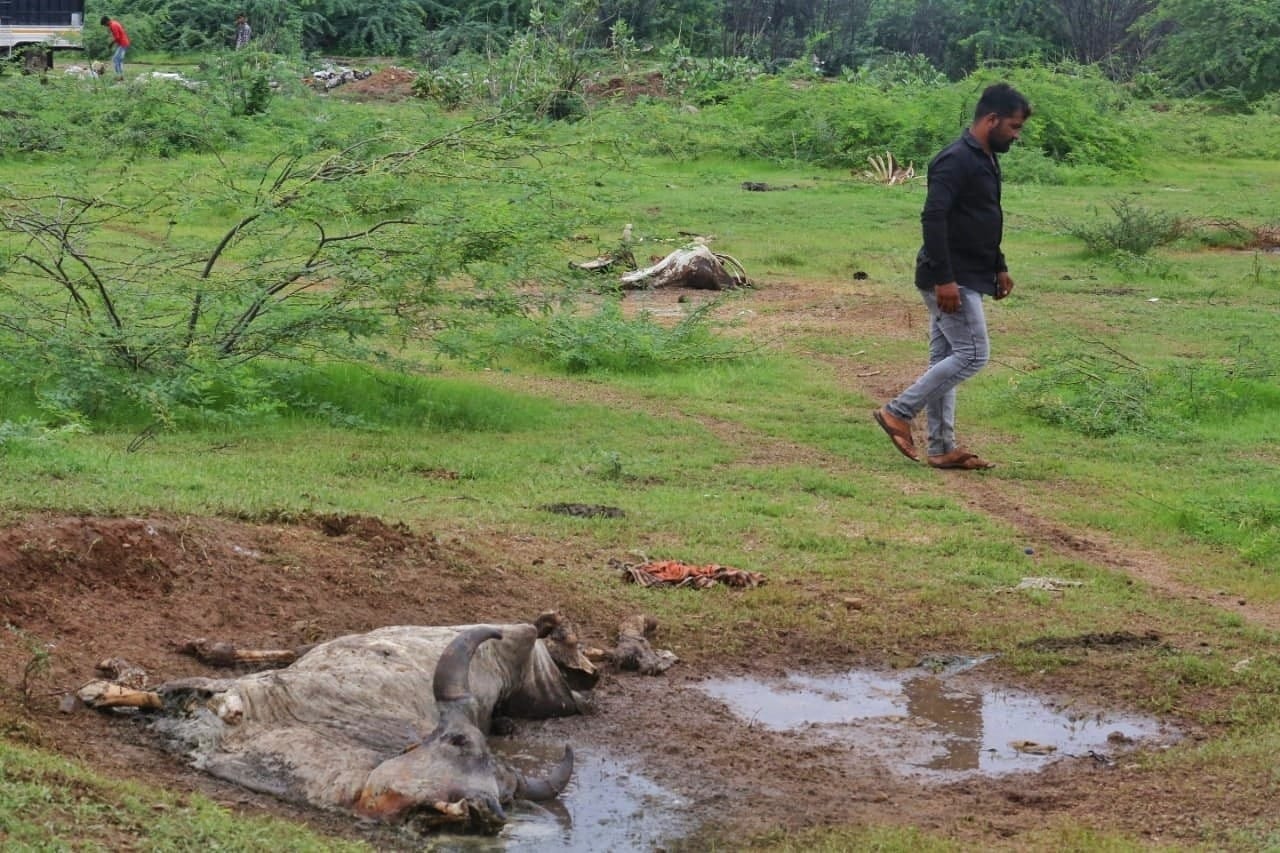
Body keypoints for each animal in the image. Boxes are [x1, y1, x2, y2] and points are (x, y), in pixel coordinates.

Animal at [79, 612, 598, 834]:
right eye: (456, 742)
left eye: (507, 796)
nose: (486, 812)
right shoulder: (239, 692)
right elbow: (161, 689)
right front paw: (101, 688)